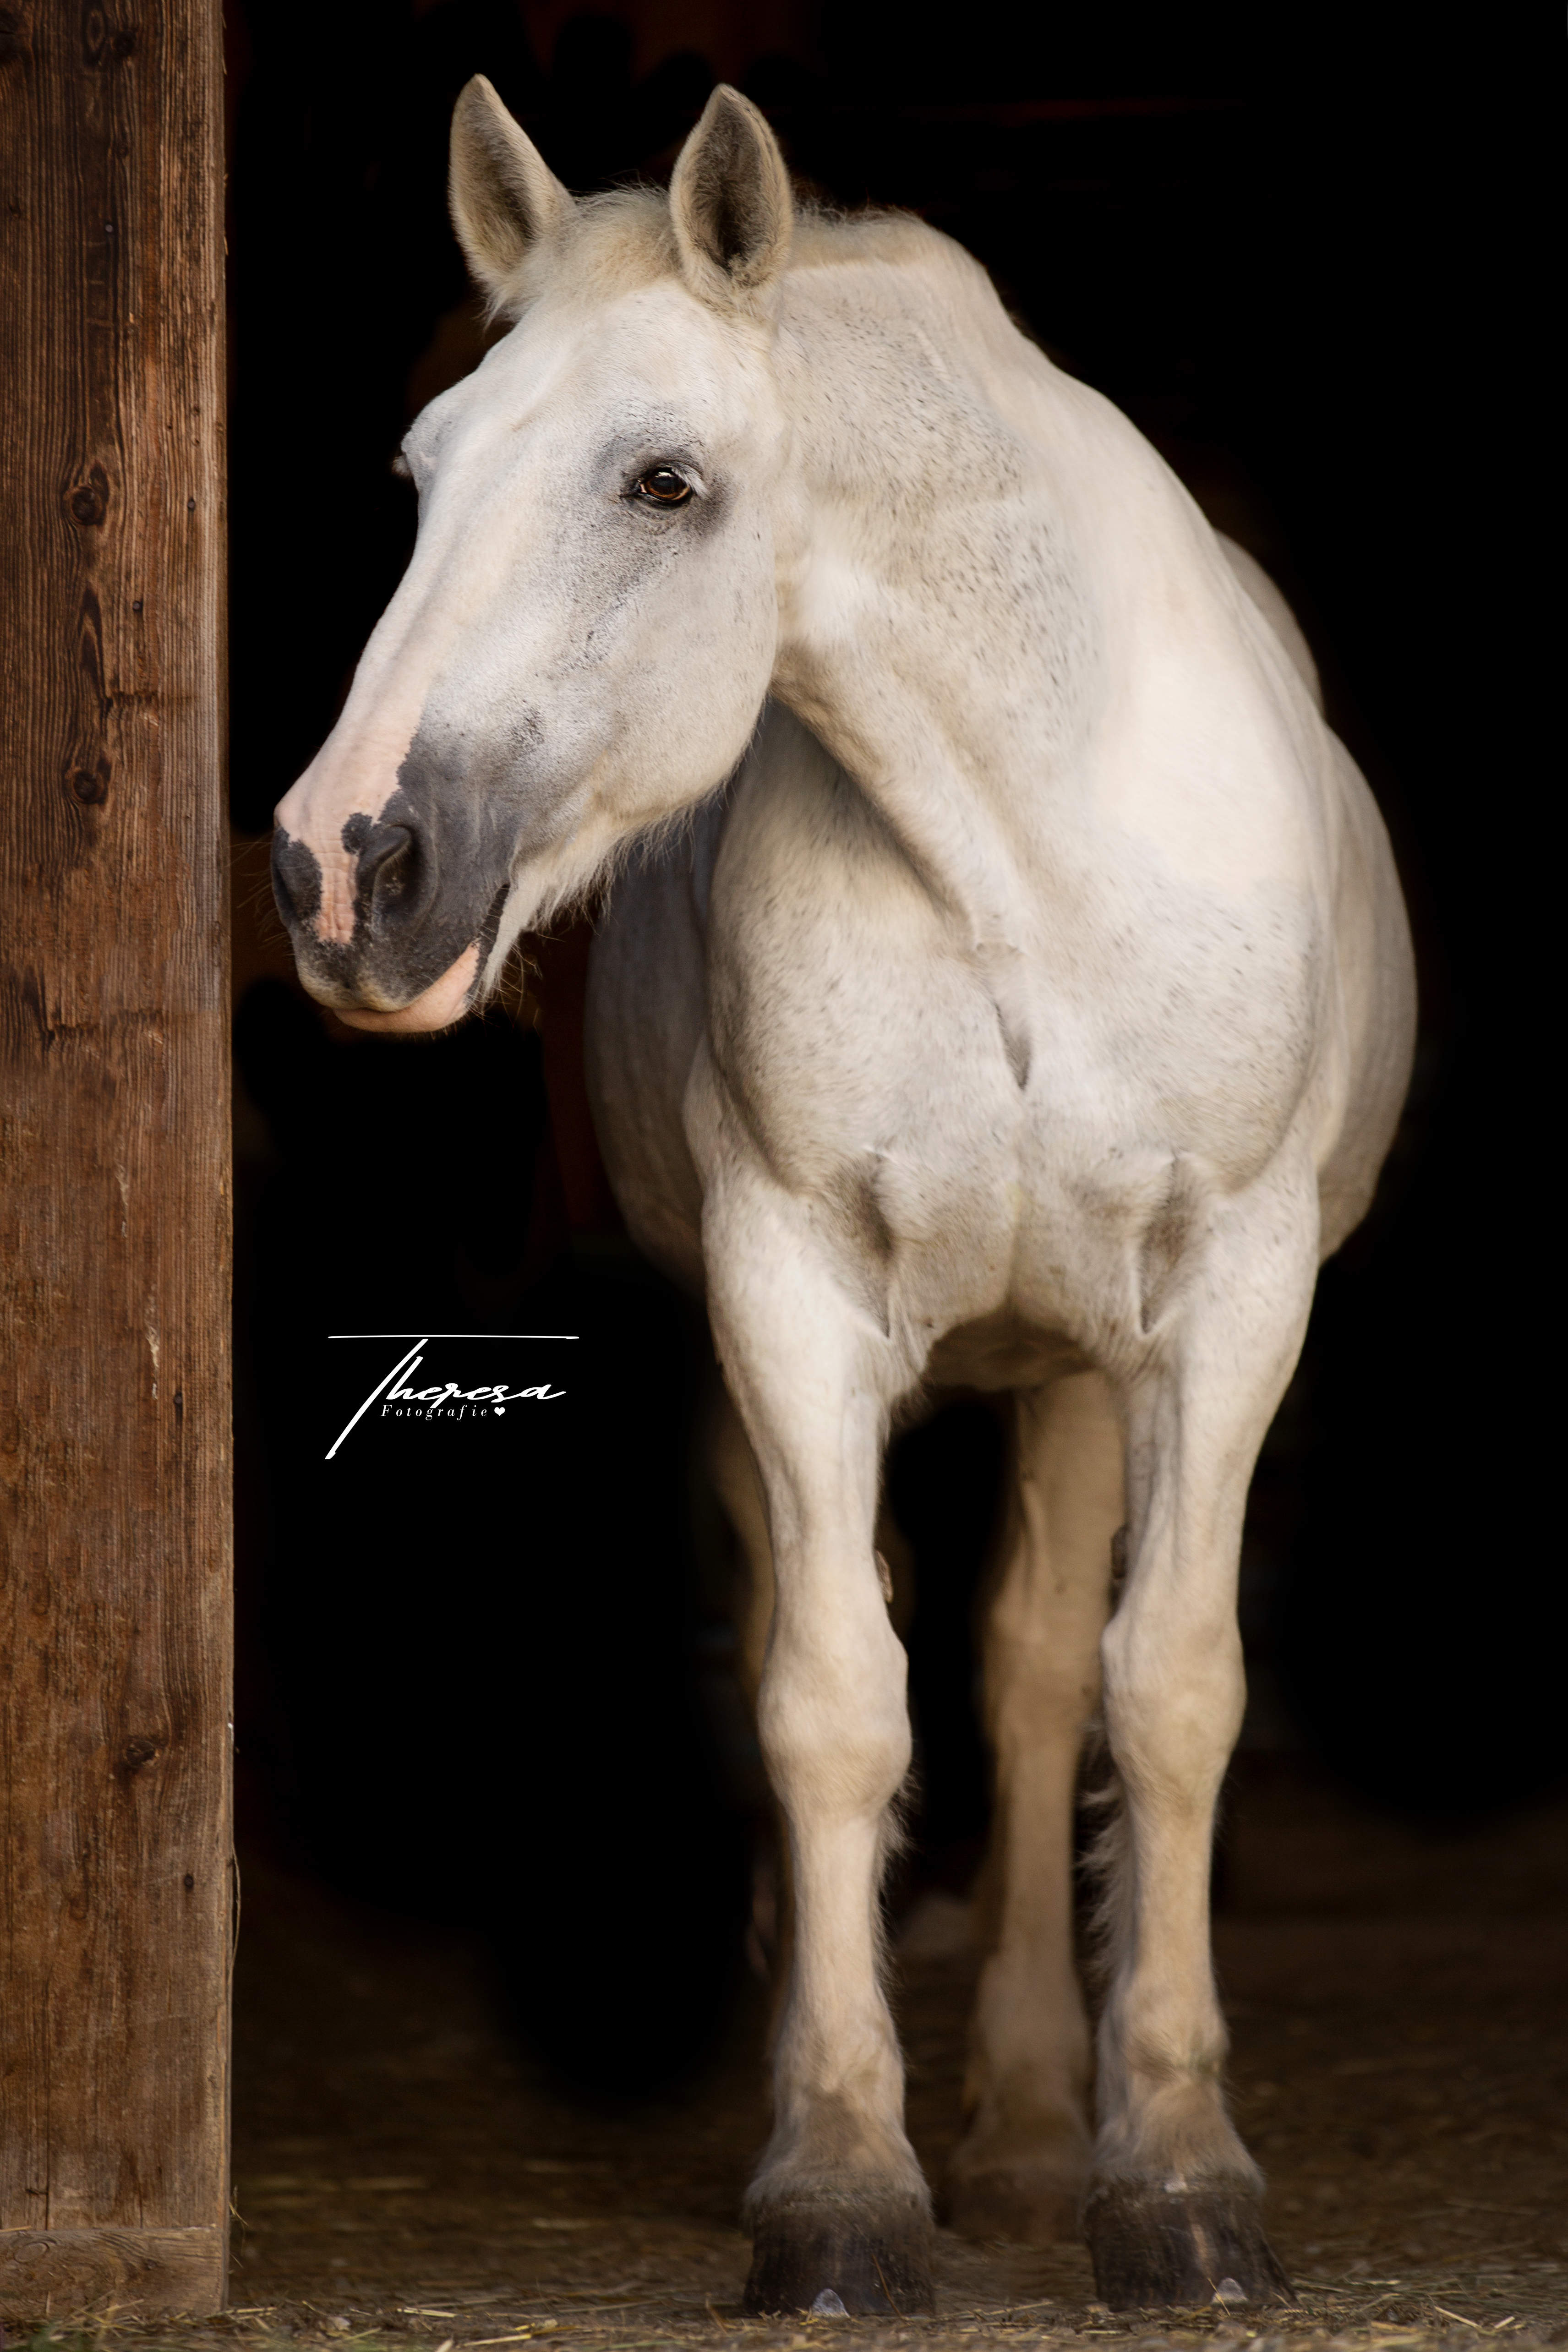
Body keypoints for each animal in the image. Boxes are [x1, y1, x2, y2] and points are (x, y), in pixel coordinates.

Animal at [269, 79, 1416, 2315]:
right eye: (422, 472)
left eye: (666, 483)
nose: (347, 871)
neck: (1021, 853)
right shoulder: (783, 1290)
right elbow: (828, 1707)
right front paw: (834, 2184)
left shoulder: (1228, 1293)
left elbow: (1166, 1692)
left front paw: (1182, 2181)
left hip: (1075, 1367)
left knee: (1044, 1671)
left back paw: (1049, 2134)